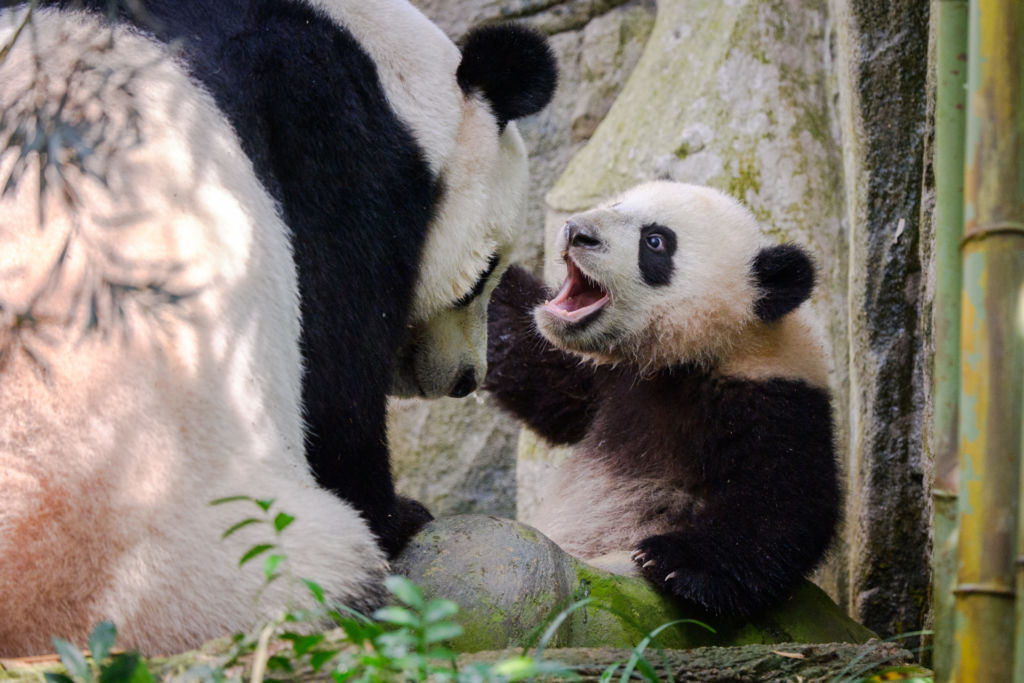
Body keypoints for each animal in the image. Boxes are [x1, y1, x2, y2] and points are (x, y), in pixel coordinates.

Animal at [487, 183, 839, 618]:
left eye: (655, 242)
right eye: (617, 203)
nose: (576, 232)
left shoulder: (774, 399)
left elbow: (783, 503)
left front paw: (677, 563)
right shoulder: (604, 379)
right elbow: (534, 367)